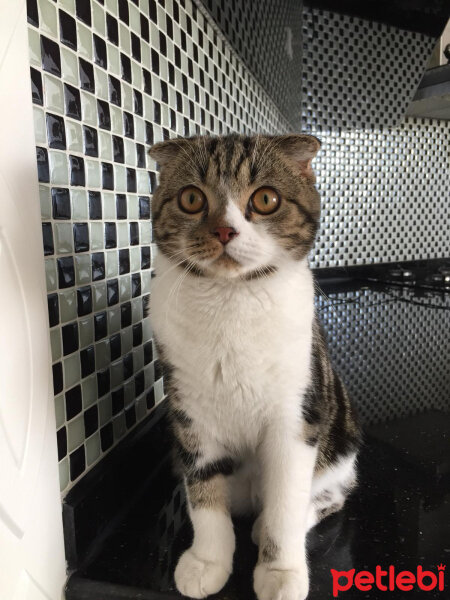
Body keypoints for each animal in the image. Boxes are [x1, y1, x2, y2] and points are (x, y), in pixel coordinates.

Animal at [149, 135, 362, 600]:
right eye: (191, 198)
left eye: (266, 199)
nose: (225, 231)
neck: (231, 299)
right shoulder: (191, 413)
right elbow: (203, 492)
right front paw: (207, 561)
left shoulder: (296, 416)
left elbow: (286, 502)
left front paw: (281, 572)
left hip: (340, 451)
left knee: (326, 498)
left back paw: (268, 527)